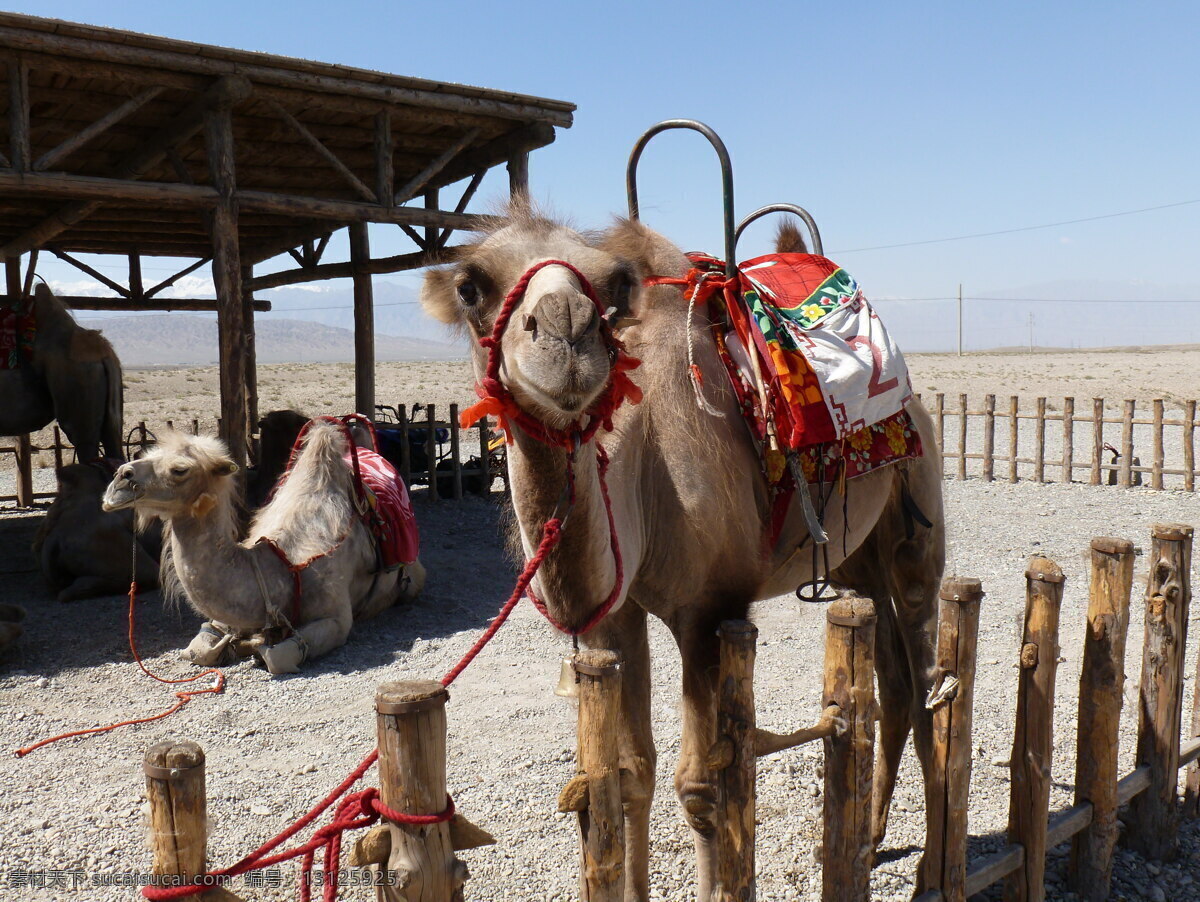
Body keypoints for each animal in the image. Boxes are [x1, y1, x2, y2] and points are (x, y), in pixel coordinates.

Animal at [102, 422, 427, 671]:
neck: (281, 566)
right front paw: (233, 642)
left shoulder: (336, 618)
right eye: (145, 454)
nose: (119, 478)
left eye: (180, 469)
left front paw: (255, 644)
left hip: (411, 581)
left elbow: (276, 656)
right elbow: (198, 650)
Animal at [422, 207, 945, 897]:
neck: (641, 466)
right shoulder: (615, 616)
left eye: (615, 285)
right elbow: (630, 772)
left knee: (929, 673)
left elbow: (699, 785)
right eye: (471, 286)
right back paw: (874, 836)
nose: (565, 328)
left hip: (918, 513)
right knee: (895, 683)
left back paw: (931, 868)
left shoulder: (707, 611)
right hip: (858, 562)